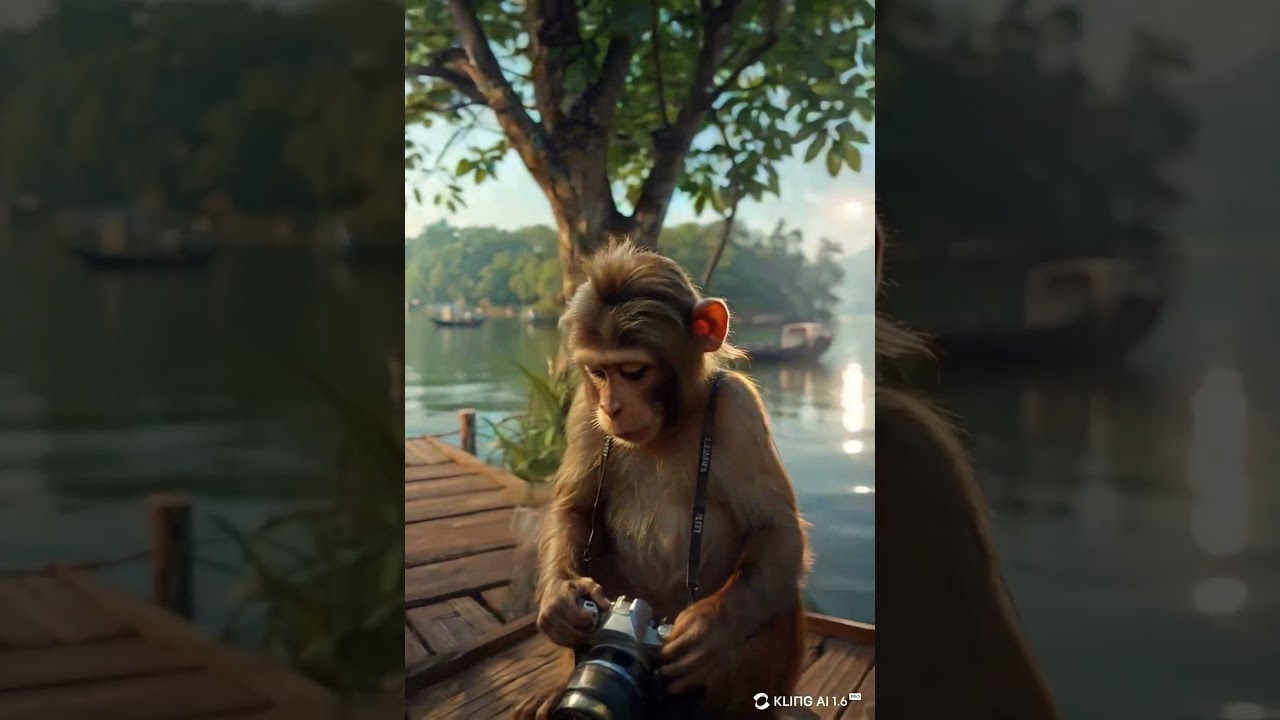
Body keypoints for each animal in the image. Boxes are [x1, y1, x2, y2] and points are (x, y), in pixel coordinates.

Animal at [512, 241, 811, 720]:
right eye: (599, 373)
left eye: (634, 371)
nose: (612, 407)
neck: (671, 424)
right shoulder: (583, 409)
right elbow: (574, 507)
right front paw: (560, 599)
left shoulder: (738, 409)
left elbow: (775, 531)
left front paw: (708, 630)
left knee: (777, 596)